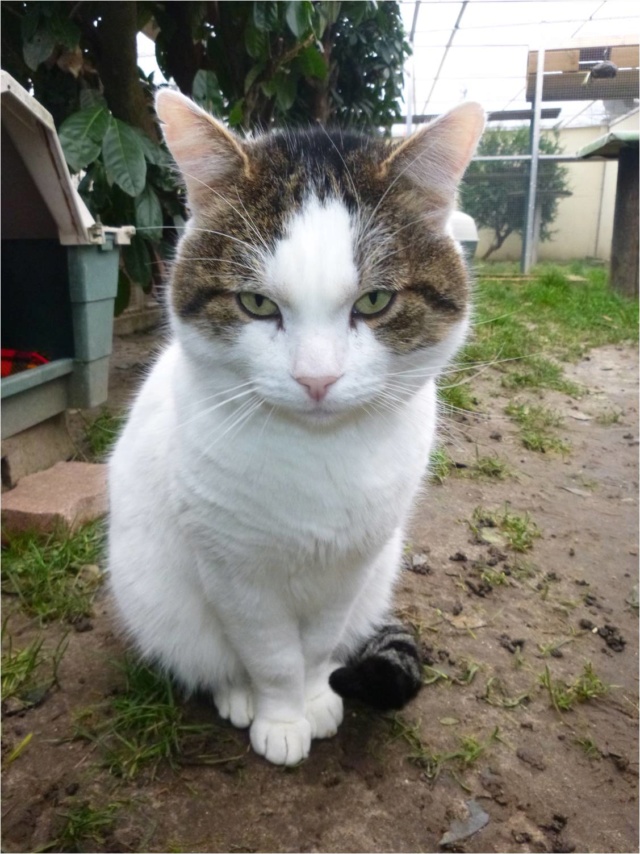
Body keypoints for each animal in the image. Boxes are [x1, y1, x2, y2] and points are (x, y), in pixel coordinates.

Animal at [107, 92, 482, 768]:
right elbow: (272, 655)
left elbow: (316, 647)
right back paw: (235, 694)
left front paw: (313, 700)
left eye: (375, 302)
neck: (318, 454)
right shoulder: (234, 572)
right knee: (211, 655)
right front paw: (281, 718)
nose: (317, 378)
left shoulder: (354, 565)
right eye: (257, 304)